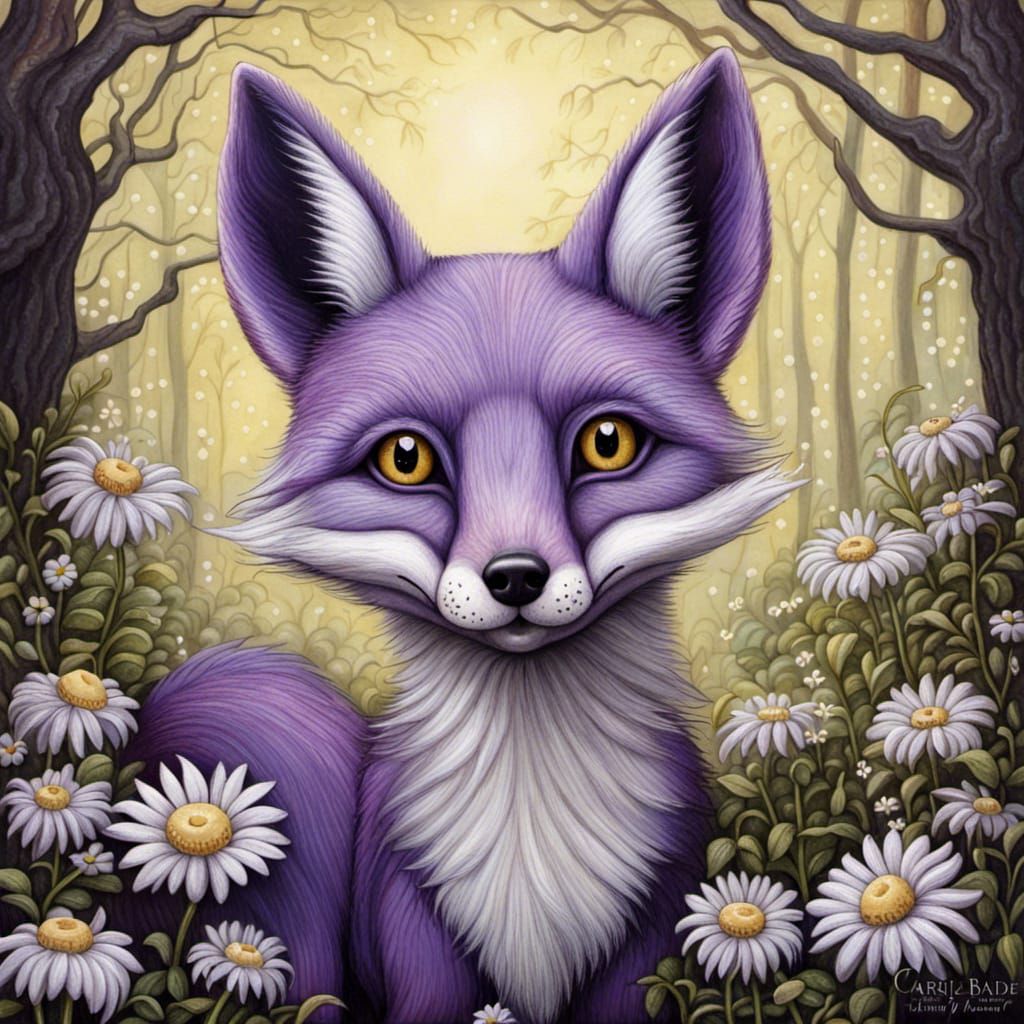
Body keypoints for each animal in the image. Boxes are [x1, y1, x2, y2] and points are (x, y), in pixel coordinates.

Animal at [121, 48, 802, 1024]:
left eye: (607, 442)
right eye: (405, 458)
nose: (514, 576)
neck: (531, 856)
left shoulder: (650, 945)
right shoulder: (419, 954)